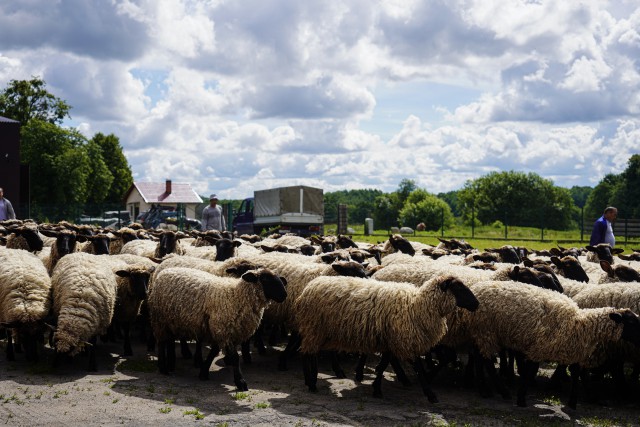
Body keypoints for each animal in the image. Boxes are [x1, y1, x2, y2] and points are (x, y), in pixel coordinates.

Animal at [148, 268, 288, 392]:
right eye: (265, 279)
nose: (284, 295)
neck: (237, 296)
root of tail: (164, 271)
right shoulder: (224, 330)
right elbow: (235, 358)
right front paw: (240, 382)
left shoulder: (221, 332)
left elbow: (214, 352)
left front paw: (204, 372)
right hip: (160, 321)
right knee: (161, 343)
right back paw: (163, 368)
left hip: (172, 322)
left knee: (169, 342)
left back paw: (171, 364)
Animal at [292, 274, 478, 402]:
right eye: (459, 288)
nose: (476, 304)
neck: (417, 306)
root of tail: (308, 288)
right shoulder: (403, 340)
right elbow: (417, 367)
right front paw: (430, 394)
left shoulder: (392, 341)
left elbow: (384, 365)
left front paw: (376, 388)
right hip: (315, 328)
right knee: (308, 354)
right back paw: (312, 383)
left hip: (320, 331)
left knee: (307, 353)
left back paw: (309, 380)